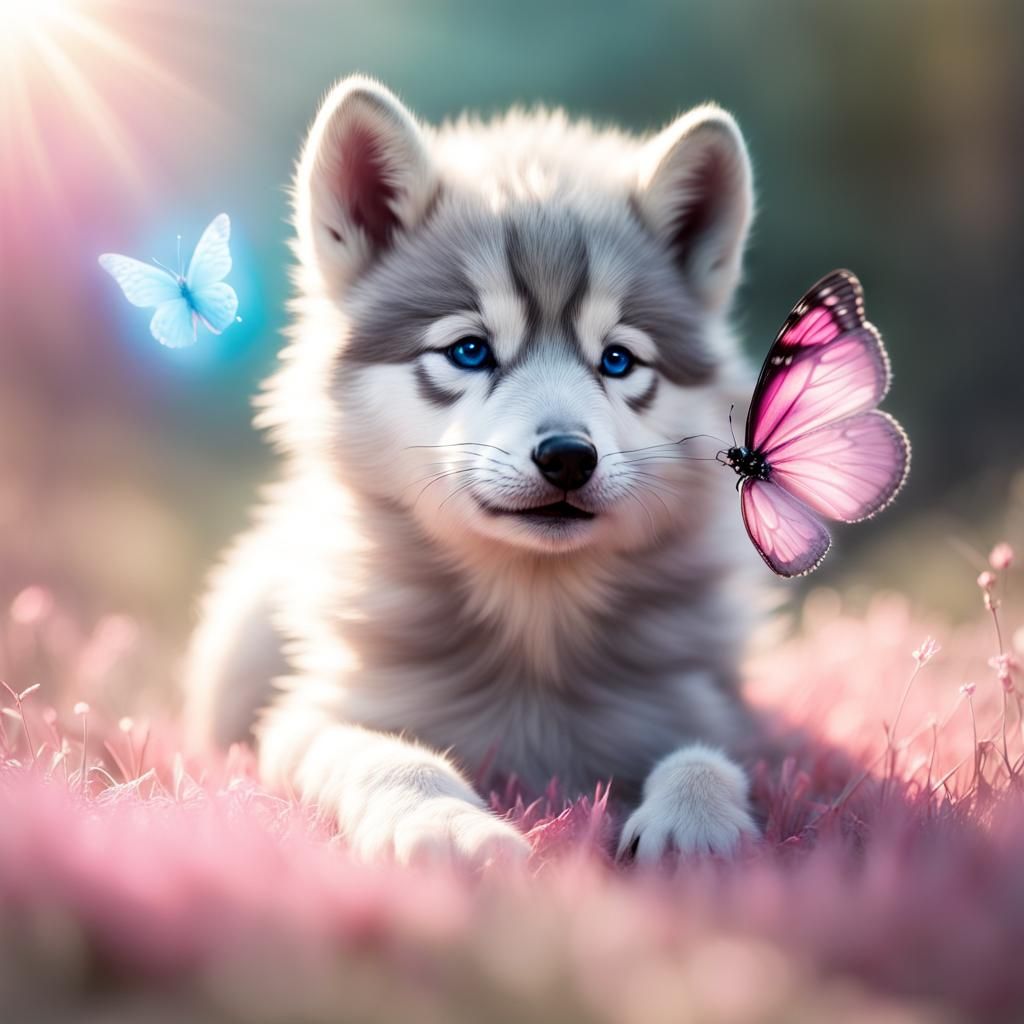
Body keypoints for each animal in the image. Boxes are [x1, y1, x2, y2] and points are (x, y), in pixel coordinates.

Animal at [184, 75, 763, 866]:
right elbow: (381, 753)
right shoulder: (306, 720)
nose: (567, 456)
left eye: (618, 360)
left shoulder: (717, 708)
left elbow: (711, 755)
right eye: (468, 351)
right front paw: (447, 827)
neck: (534, 622)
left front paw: (696, 824)